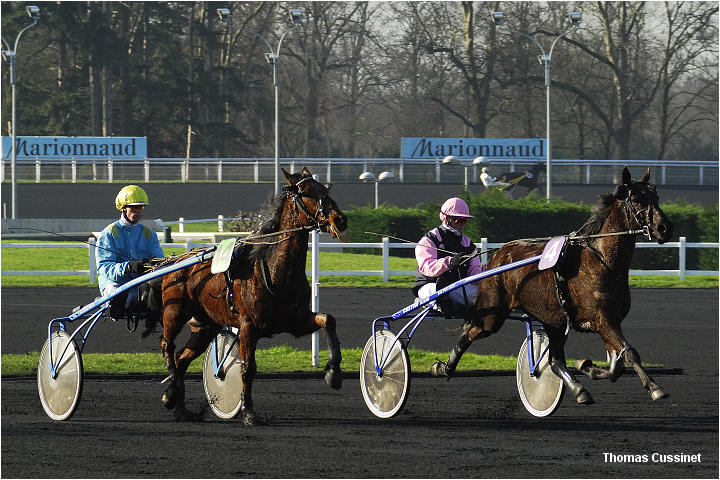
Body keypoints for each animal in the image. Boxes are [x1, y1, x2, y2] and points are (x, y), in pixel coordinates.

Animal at [158, 169, 348, 424]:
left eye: (325, 190)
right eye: (307, 192)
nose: (339, 220)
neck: (277, 271)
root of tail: (178, 260)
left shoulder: (295, 321)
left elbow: (328, 320)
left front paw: (333, 372)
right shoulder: (248, 326)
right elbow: (247, 368)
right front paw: (248, 411)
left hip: (205, 326)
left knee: (182, 358)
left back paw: (177, 404)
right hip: (174, 312)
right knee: (167, 346)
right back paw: (172, 389)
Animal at [434, 168, 676, 404]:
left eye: (655, 196)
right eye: (635, 198)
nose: (665, 227)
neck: (603, 260)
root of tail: (498, 254)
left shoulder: (611, 320)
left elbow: (617, 365)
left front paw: (588, 367)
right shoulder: (602, 319)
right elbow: (629, 353)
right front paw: (655, 388)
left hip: (553, 319)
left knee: (554, 360)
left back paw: (579, 390)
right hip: (493, 314)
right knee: (470, 331)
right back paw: (444, 367)